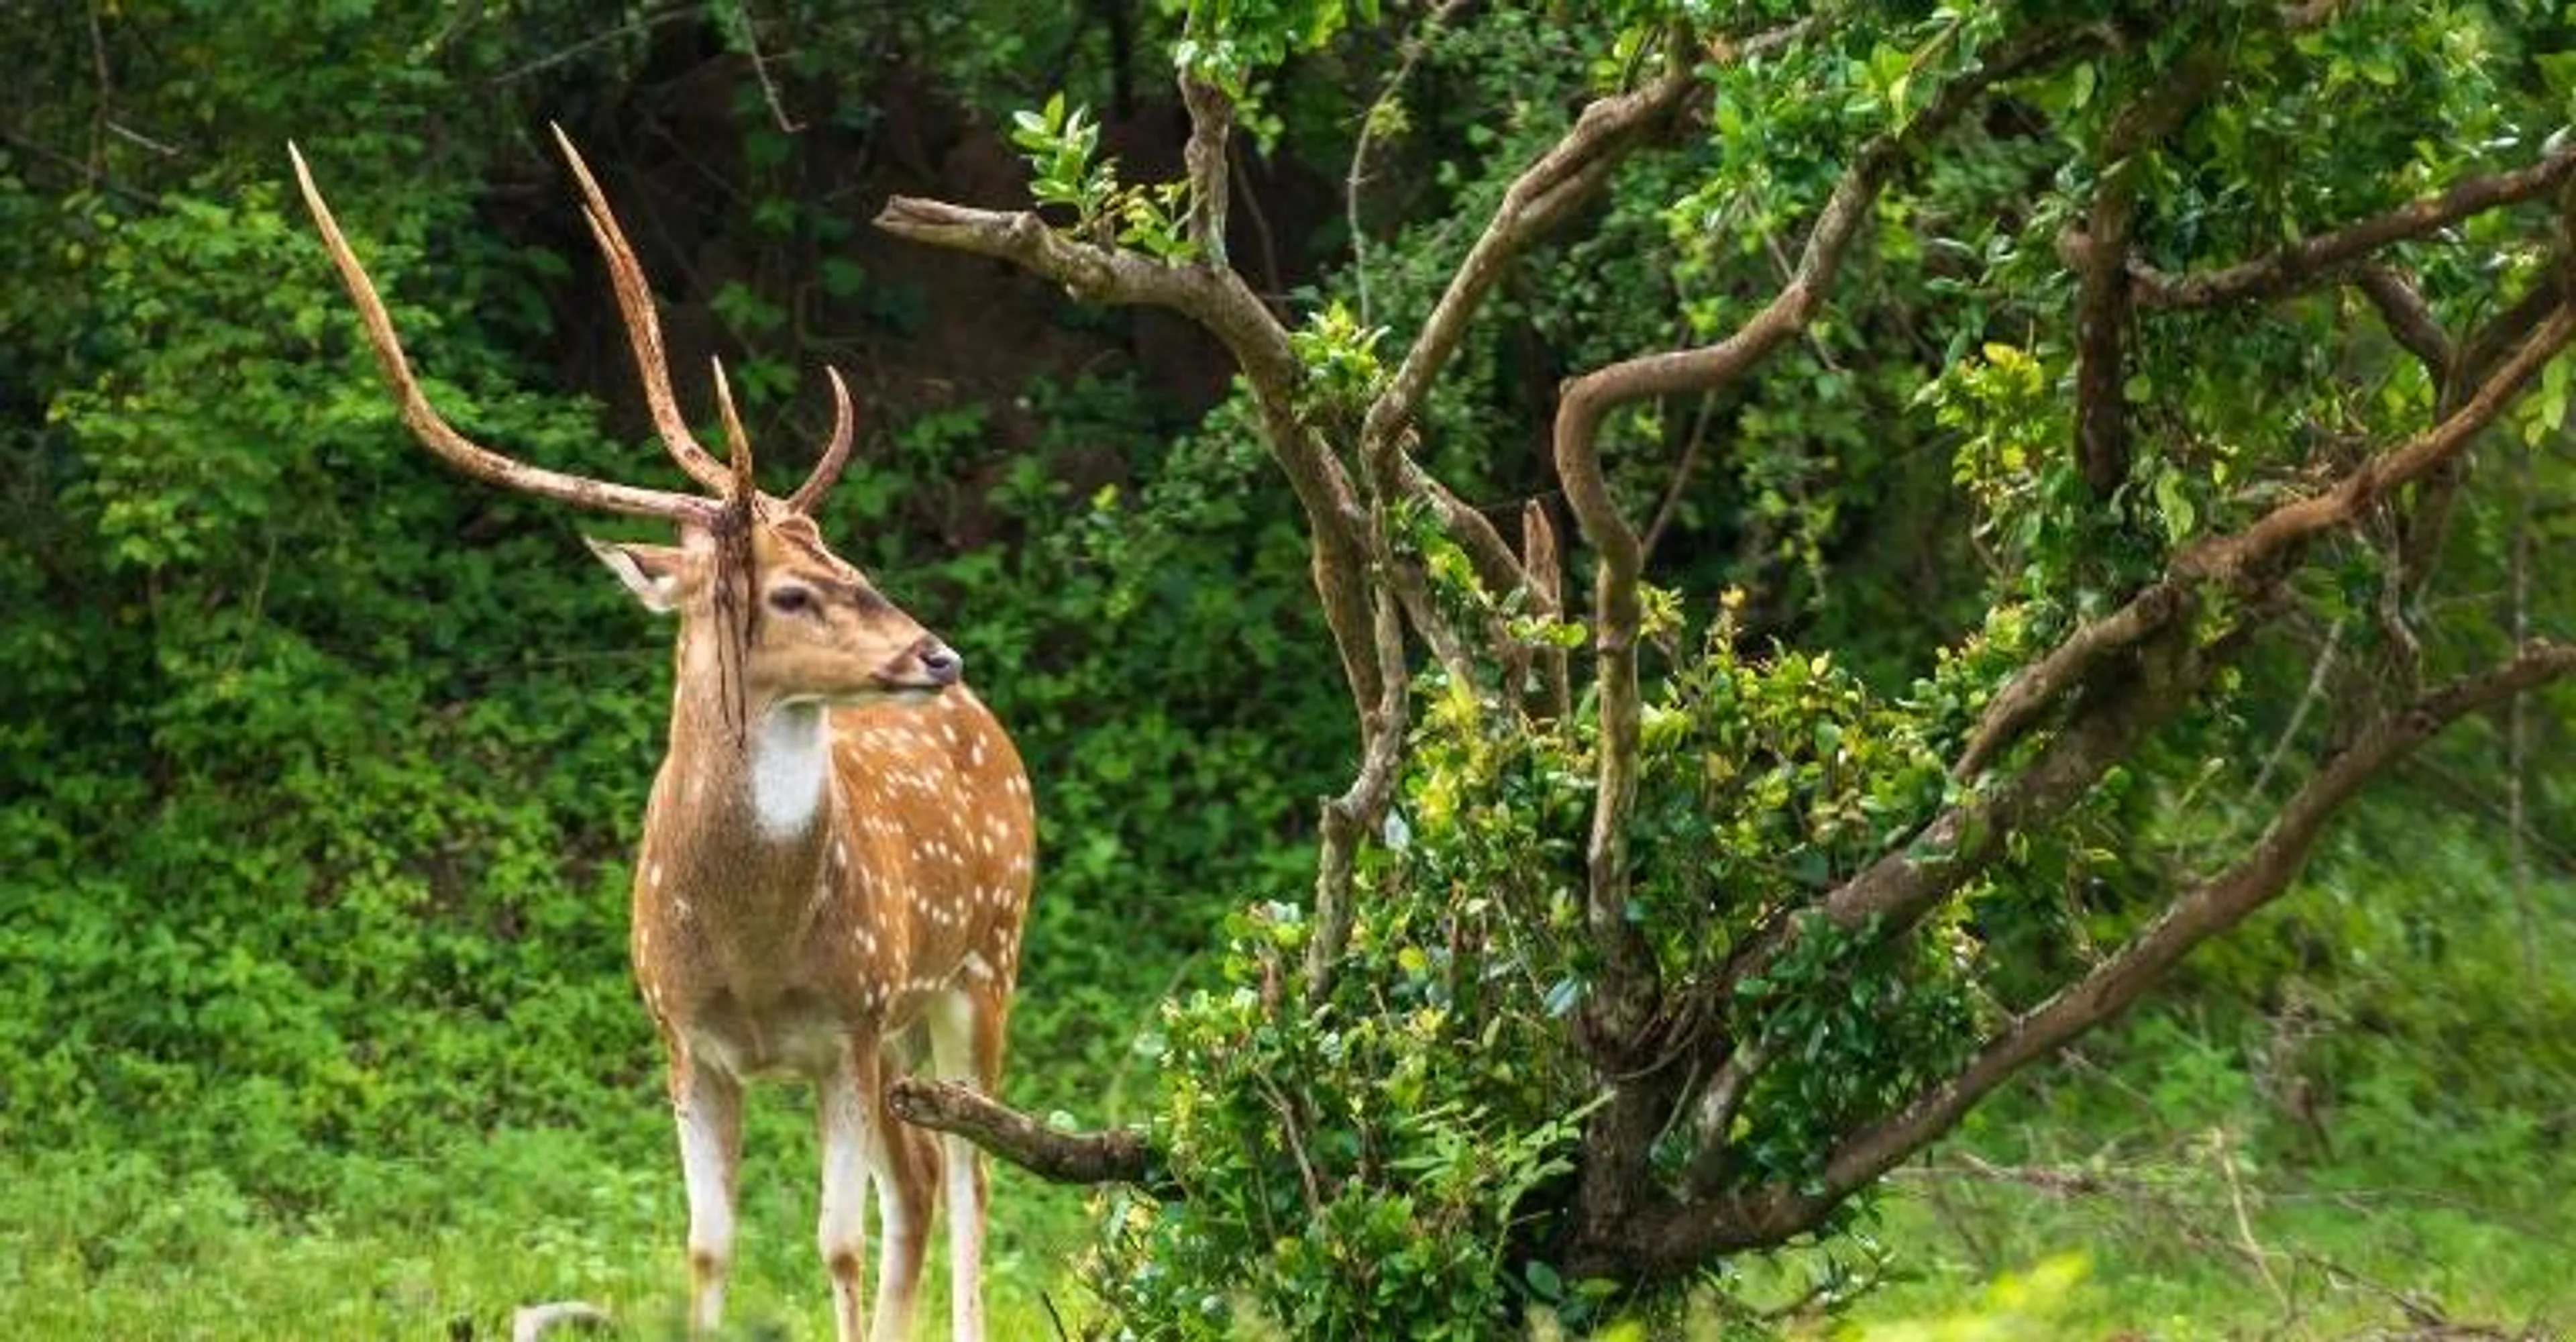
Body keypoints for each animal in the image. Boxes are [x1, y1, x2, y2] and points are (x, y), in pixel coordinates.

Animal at [290, 132, 1034, 1342]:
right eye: (789, 591)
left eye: (842, 556)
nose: (937, 655)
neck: (756, 954)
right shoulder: (683, 1038)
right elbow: (707, 1248)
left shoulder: (847, 1022)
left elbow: (832, 1245)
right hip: (909, 1024)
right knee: (923, 1182)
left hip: (983, 961)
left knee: (974, 1177)